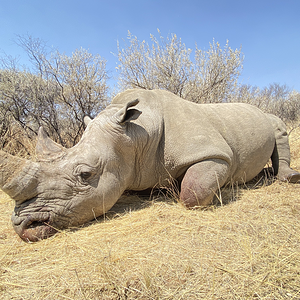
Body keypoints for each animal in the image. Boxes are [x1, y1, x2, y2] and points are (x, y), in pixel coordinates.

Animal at [0, 89, 298, 241]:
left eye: (85, 174)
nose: (21, 226)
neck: (136, 134)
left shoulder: (215, 153)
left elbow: (192, 192)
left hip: (264, 116)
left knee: (277, 124)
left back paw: (287, 178)